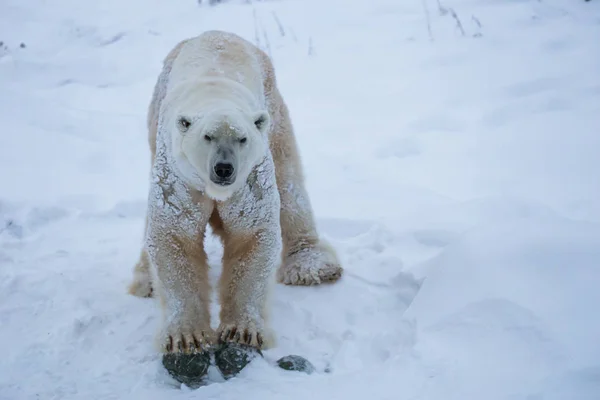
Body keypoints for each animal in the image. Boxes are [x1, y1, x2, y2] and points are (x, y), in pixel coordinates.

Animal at [126, 30, 342, 354]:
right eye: (207, 137)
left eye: (242, 139)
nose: (224, 168)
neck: (214, 94)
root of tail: (216, 33)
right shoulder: (179, 175)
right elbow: (173, 233)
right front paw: (186, 337)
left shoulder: (251, 177)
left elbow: (251, 233)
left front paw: (242, 331)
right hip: (156, 117)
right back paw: (145, 280)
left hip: (274, 113)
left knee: (289, 181)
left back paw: (313, 266)